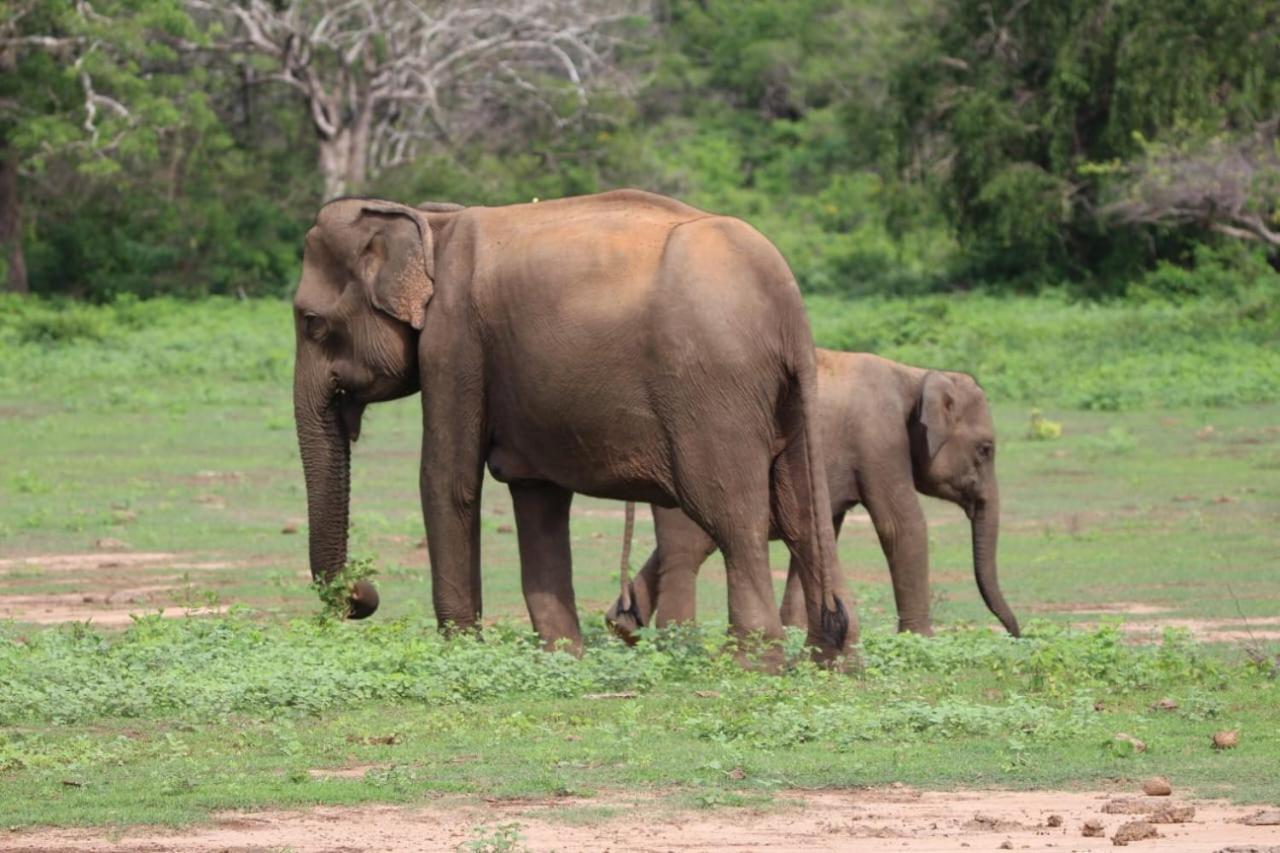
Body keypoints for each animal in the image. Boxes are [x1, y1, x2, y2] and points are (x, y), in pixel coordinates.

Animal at [289, 189, 849, 660]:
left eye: (311, 322)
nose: (364, 594)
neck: (431, 223)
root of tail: (788, 310)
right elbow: (536, 495)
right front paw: (565, 658)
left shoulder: (455, 342)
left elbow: (448, 482)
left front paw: (461, 653)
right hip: (787, 400)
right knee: (802, 517)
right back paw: (835, 661)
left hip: (714, 391)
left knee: (733, 515)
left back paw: (755, 666)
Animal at [606, 348, 1018, 635]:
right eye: (986, 449)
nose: (1016, 634)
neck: (914, 375)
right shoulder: (880, 441)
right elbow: (902, 525)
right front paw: (920, 639)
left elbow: (819, 531)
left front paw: (797, 630)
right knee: (687, 550)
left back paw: (622, 627)